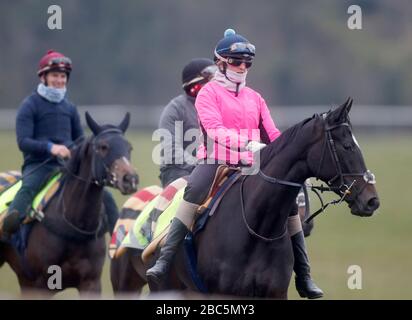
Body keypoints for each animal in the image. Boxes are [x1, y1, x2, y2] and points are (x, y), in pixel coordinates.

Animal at [0, 112, 138, 298]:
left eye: (129, 147)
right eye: (103, 147)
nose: (130, 179)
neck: (73, 224)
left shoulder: (90, 282)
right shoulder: (40, 285)